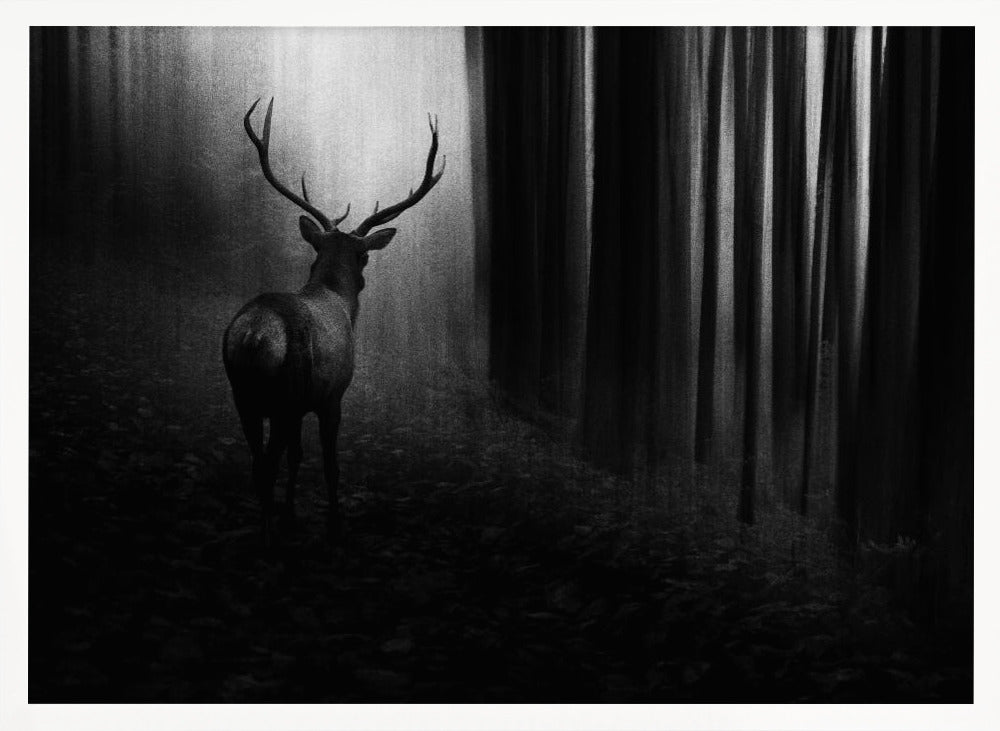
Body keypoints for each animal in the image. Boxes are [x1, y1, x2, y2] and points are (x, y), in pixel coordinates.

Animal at [223, 97, 445, 546]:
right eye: (365, 255)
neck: (336, 298)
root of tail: (255, 335)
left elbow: (297, 457)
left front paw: (292, 513)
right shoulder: (332, 396)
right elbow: (328, 463)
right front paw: (334, 523)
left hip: (244, 394)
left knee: (258, 462)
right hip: (286, 393)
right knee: (266, 464)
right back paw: (268, 537)